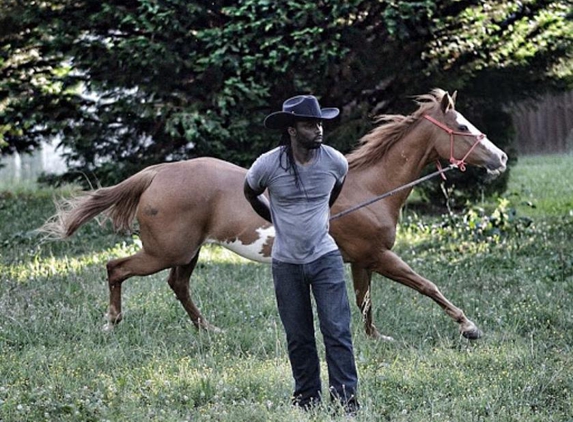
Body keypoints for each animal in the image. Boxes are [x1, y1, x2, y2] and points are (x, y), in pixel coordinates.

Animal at [42, 89, 504, 340]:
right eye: (462, 127)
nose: (499, 157)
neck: (370, 190)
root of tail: (160, 172)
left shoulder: (362, 261)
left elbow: (364, 302)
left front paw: (376, 337)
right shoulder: (379, 256)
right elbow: (427, 286)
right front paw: (468, 326)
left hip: (187, 251)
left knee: (178, 285)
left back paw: (208, 330)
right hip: (164, 250)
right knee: (116, 267)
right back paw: (112, 323)